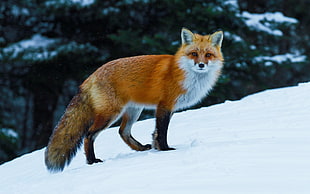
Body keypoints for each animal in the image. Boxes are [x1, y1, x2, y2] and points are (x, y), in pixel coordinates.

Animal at [44, 27, 223, 171]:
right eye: (194, 54)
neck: (184, 74)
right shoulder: (164, 105)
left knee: (122, 131)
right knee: (89, 135)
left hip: (133, 111)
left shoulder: (169, 108)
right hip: (111, 114)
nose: (201, 65)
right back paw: (92, 161)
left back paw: (141, 149)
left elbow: (155, 133)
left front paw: (157, 148)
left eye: (208, 55)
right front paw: (165, 150)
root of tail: (91, 76)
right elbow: (162, 132)